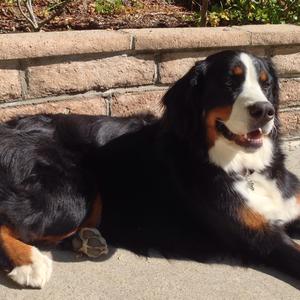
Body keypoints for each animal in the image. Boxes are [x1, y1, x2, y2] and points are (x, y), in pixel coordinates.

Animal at [0, 49, 300, 288]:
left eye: (266, 84)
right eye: (229, 82)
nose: (265, 111)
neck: (244, 168)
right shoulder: (259, 236)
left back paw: (87, 239)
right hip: (73, 195)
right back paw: (30, 263)